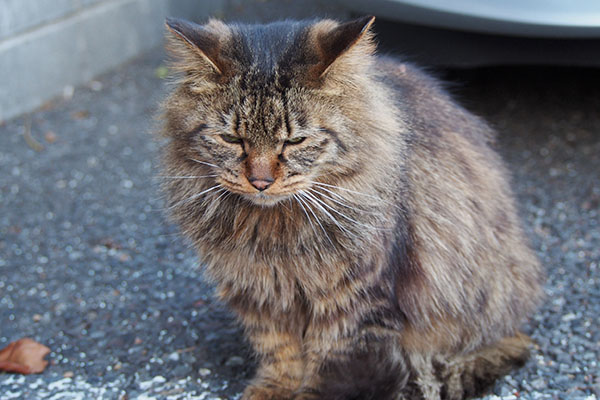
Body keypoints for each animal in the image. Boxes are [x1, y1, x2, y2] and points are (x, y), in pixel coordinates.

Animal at [158, 15, 544, 400]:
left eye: (296, 141)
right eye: (232, 139)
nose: (261, 182)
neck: (275, 233)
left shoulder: (353, 301)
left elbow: (335, 370)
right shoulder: (260, 294)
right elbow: (280, 354)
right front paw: (273, 389)